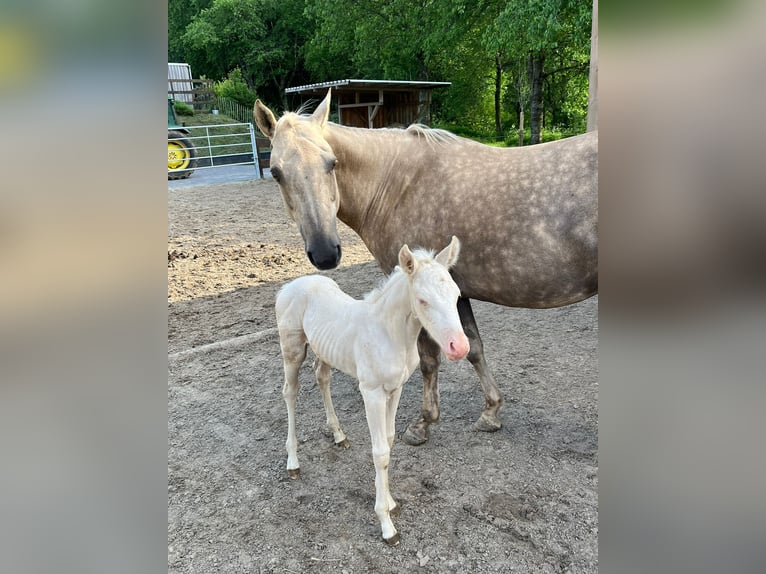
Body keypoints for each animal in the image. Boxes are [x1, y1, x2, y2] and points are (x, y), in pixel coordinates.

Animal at [258, 90, 600, 448]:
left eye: (332, 163)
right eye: (276, 172)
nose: (325, 252)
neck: (397, 184)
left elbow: (429, 359)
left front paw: (424, 423)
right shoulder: (455, 292)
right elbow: (472, 347)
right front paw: (491, 411)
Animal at [274, 236, 468, 548]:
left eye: (456, 294)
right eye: (422, 300)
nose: (459, 347)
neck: (390, 335)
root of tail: (290, 285)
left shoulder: (396, 388)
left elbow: (388, 441)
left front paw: (391, 503)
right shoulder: (372, 392)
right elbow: (379, 453)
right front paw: (387, 525)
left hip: (324, 350)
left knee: (322, 377)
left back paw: (338, 435)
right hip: (291, 350)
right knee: (290, 392)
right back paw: (293, 461)